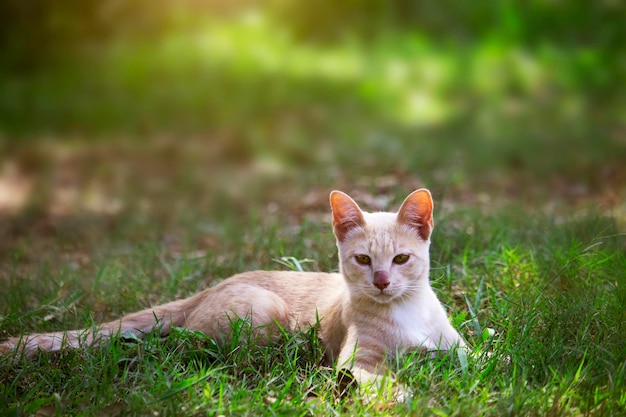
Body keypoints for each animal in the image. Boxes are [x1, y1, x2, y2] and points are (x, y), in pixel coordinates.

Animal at [1, 188, 464, 396]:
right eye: (364, 260)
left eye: (401, 259)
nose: (382, 281)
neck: (407, 311)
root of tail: (210, 287)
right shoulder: (356, 360)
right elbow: (380, 379)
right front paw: (404, 395)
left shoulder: (456, 348)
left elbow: (474, 358)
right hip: (265, 312)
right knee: (190, 343)